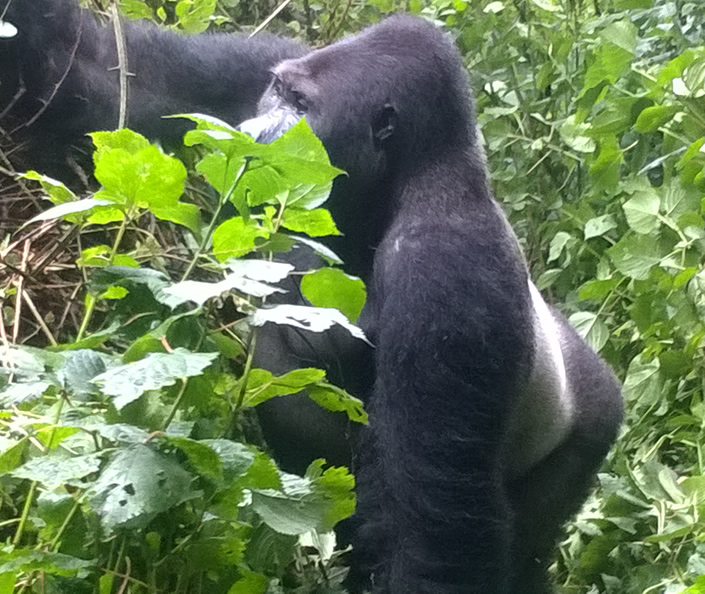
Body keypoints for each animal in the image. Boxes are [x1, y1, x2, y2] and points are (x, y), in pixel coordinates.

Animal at [0, 2, 620, 588]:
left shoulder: (448, 268)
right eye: (278, 92)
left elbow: (434, 543)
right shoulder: (263, 65)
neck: (405, 175)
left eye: (302, 106)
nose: (256, 132)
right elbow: (106, 66)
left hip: (586, 433)